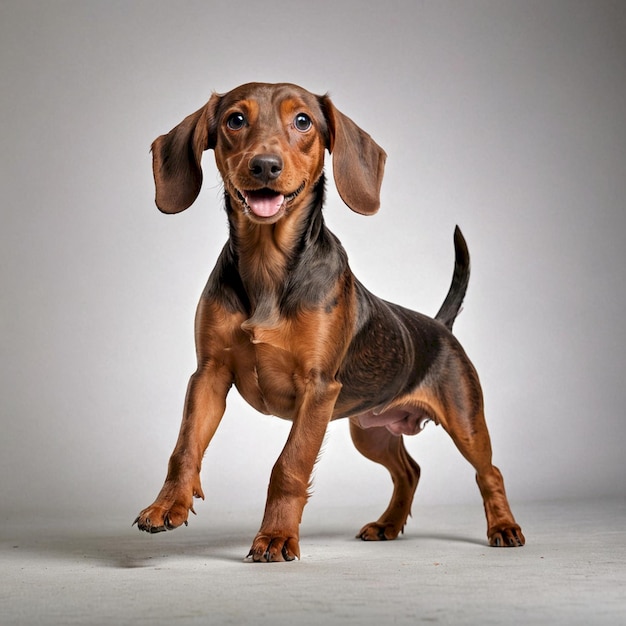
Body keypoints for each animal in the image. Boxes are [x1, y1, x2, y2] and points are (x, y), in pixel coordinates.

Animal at [135, 80, 520, 560]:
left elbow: (290, 465)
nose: (265, 165)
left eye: (303, 121)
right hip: (371, 430)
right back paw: (388, 524)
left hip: (465, 421)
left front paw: (276, 536)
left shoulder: (317, 389)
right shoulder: (209, 374)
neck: (268, 265)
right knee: (409, 470)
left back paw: (504, 526)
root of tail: (440, 326)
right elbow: (185, 447)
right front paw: (167, 505)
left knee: (491, 472)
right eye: (234, 120)